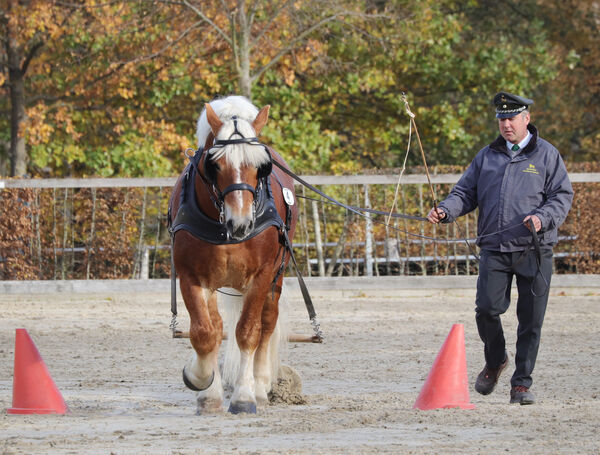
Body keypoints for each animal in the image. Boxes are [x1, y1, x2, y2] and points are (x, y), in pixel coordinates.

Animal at [168, 97, 298, 416]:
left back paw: (260, 387)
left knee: (267, 323)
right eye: (215, 164)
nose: (240, 223)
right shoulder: (192, 277)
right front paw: (201, 382)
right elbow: (204, 333)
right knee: (215, 328)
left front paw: (244, 396)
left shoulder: (261, 276)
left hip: (277, 275)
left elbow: (249, 332)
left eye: (260, 167)